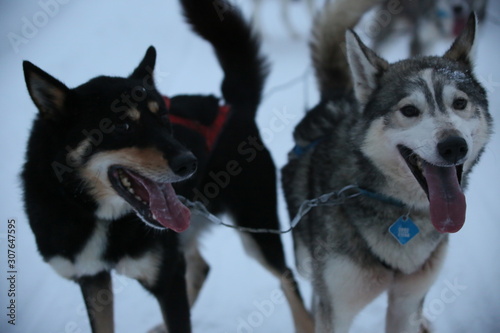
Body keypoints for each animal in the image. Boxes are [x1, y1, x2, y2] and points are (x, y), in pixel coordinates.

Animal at [23, 0, 312, 330]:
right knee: (202, 267)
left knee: (286, 277)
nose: (190, 163)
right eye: (122, 125)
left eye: (162, 116)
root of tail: (230, 106)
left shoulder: (167, 277)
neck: (95, 214)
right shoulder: (93, 278)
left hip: (255, 225)